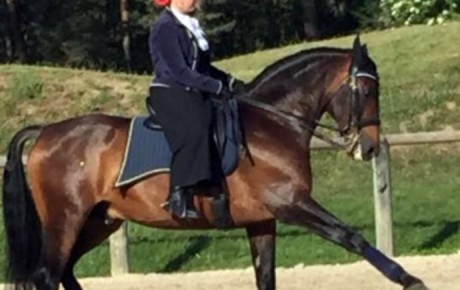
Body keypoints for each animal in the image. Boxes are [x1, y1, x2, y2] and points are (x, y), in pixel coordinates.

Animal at [3, 36, 428, 290]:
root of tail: (47, 131)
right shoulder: (291, 204)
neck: (273, 124)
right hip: (66, 218)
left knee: (65, 270)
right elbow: (351, 237)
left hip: (99, 220)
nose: (370, 147)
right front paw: (410, 279)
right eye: (368, 91)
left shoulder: (262, 220)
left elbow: (266, 277)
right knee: (49, 274)